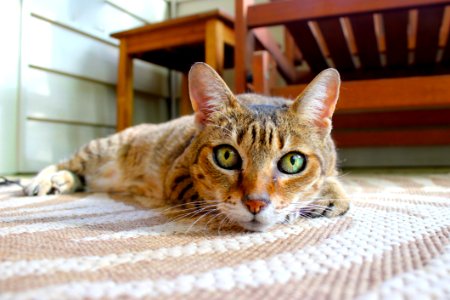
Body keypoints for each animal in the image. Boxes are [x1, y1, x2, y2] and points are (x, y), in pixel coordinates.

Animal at [24, 62, 350, 232]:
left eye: (292, 162)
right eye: (226, 156)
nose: (256, 203)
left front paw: (329, 195)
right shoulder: (177, 176)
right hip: (101, 149)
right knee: (65, 163)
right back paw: (43, 181)